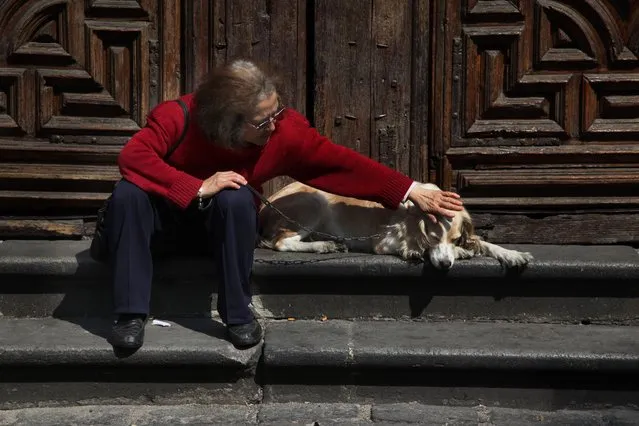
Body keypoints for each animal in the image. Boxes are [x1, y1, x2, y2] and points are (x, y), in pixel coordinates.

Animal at [258, 182, 532, 270]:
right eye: (433, 238)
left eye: (454, 238)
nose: (445, 265)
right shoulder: (383, 242)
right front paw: (462, 252)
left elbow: (484, 243)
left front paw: (513, 254)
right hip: (315, 201)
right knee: (281, 242)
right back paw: (324, 245)